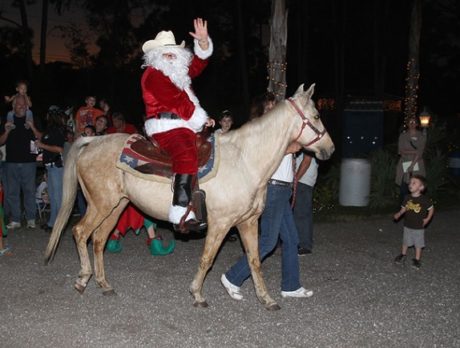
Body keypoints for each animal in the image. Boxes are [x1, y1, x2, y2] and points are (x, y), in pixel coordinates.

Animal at [45, 83, 334, 310]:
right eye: (316, 115)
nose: (330, 149)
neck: (244, 161)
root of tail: (91, 142)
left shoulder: (248, 222)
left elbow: (254, 259)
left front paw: (266, 299)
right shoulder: (220, 224)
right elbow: (207, 258)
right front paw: (197, 294)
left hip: (116, 206)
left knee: (98, 240)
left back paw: (104, 284)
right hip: (100, 204)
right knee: (81, 232)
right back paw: (82, 279)